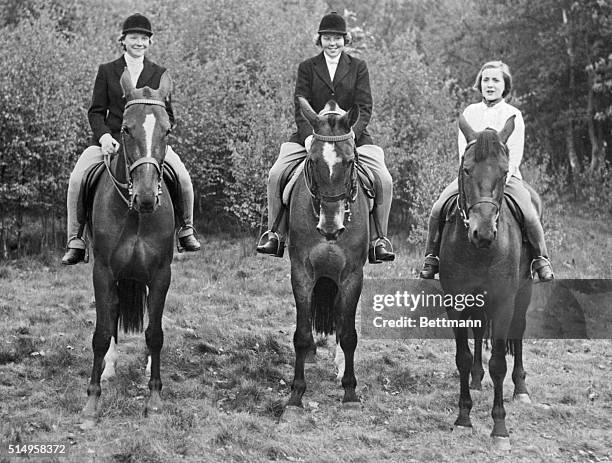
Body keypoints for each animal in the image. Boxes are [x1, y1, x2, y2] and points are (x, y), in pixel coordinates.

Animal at [80, 69, 175, 428]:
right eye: (124, 129)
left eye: (167, 129)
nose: (147, 197)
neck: (136, 215)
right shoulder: (104, 273)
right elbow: (102, 332)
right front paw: (92, 403)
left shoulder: (161, 274)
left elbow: (155, 333)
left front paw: (155, 398)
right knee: (114, 315)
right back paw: (109, 367)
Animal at [282, 98, 368, 420]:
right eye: (313, 161)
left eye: (350, 161)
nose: (330, 227)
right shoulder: (302, 273)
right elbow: (302, 334)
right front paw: (295, 396)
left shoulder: (352, 276)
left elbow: (349, 334)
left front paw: (350, 393)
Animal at [440, 114, 536, 452]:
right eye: (467, 169)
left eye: (504, 172)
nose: (482, 232)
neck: (478, 251)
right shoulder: (456, 302)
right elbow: (463, 357)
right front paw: (463, 419)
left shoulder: (503, 303)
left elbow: (498, 363)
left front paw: (499, 429)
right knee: (480, 331)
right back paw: (477, 380)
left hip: (523, 294)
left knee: (518, 334)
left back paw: (521, 388)